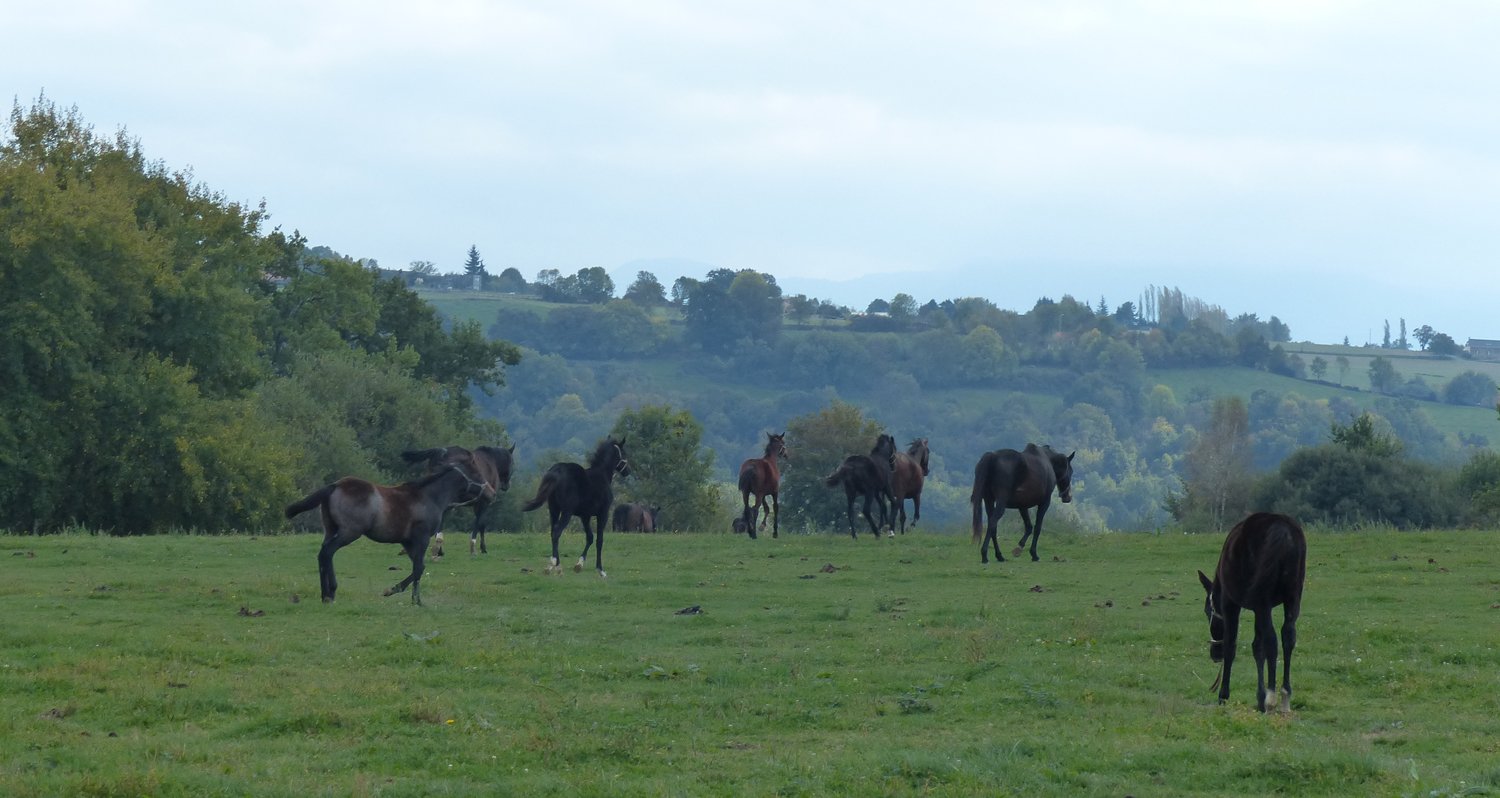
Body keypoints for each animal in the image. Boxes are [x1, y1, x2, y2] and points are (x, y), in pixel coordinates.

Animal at [286, 462, 493, 605]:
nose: (491, 493)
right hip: (349, 532)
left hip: (331, 530)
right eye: (476, 474)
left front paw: (412, 598)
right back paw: (331, 593)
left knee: (322, 554)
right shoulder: (421, 538)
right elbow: (419, 568)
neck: (428, 497)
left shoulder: (407, 542)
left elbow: (418, 568)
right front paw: (404, 595)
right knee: (328, 552)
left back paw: (325, 594)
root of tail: (335, 486)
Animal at [521, 436, 629, 577]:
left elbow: (590, 537)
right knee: (557, 532)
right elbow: (599, 540)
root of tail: (557, 471)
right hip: (566, 512)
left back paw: (554, 566)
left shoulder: (585, 516)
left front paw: (579, 564)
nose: (628, 471)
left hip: (554, 510)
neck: (601, 475)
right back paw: (554, 565)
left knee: (553, 532)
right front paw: (600, 570)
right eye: (624, 453)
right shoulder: (603, 514)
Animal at [1198, 512, 1307, 712]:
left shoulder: (1231, 604)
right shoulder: (1258, 609)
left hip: (1264, 600)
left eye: (1207, 611)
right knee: (1288, 637)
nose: (1215, 655)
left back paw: (1271, 696)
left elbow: (1232, 645)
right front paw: (1259, 697)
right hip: (1292, 598)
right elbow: (1257, 647)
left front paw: (1223, 695)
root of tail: (1284, 532)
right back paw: (1284, 695)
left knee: (1272, 641)